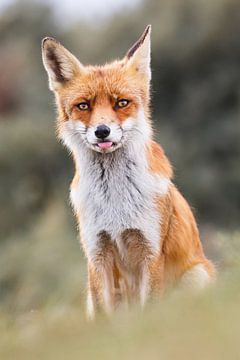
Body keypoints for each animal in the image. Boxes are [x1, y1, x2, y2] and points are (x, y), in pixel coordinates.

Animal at [41, 24, 216, 318]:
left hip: (197, 276)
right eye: (84, 105)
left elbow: (149, 310)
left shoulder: (150, 251)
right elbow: (104, 315)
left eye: (121, 103)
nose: (102, 131)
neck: (115, 202)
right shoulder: (97, 253)